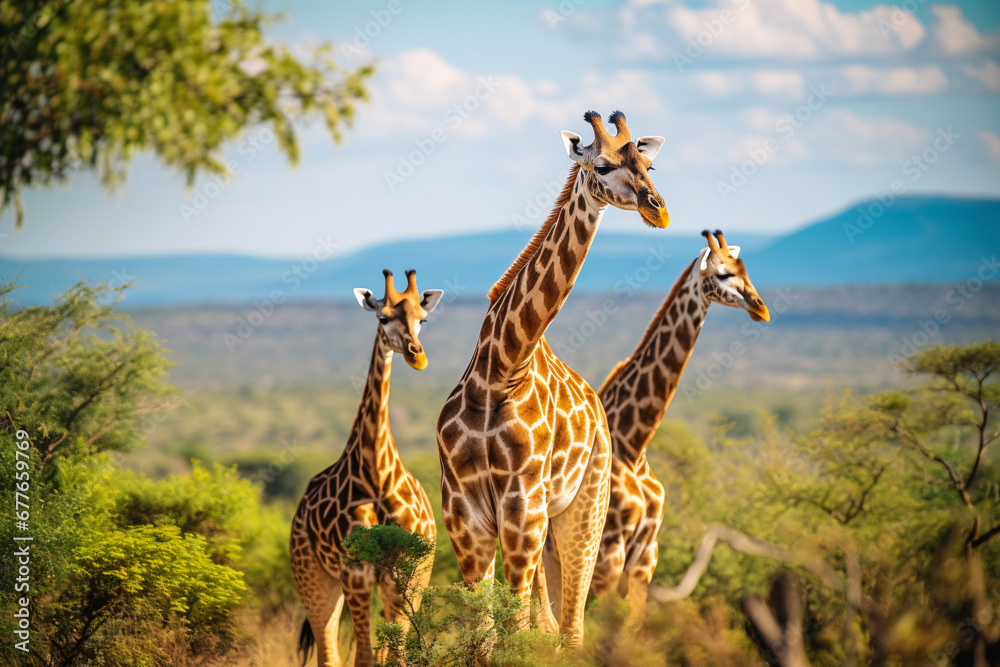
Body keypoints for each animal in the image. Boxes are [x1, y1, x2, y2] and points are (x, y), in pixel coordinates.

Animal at [290, 269, 442, 667]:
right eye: (383, 317)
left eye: (423, 320)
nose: (416, 354)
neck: (376, 474)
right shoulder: (354, 571)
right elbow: (364, 657)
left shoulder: (404, 573)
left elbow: (395, 656)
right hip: (313, 577)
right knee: (329, 652)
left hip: (407, 583)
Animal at [435, 110, 670, 647]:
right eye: (602, 166)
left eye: (647, 164)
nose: (659, 210)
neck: (500, 369)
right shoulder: (465, 518)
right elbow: (489, 637)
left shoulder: (523, 509)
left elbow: (514, 630)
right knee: (552, 620)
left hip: (585, 512)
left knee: (573, 626)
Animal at [538, 230, 770, 626]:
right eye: (723, 273)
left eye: (746, 269)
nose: (760, 307)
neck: (635, 443)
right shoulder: (610, 555)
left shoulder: (646, 557)